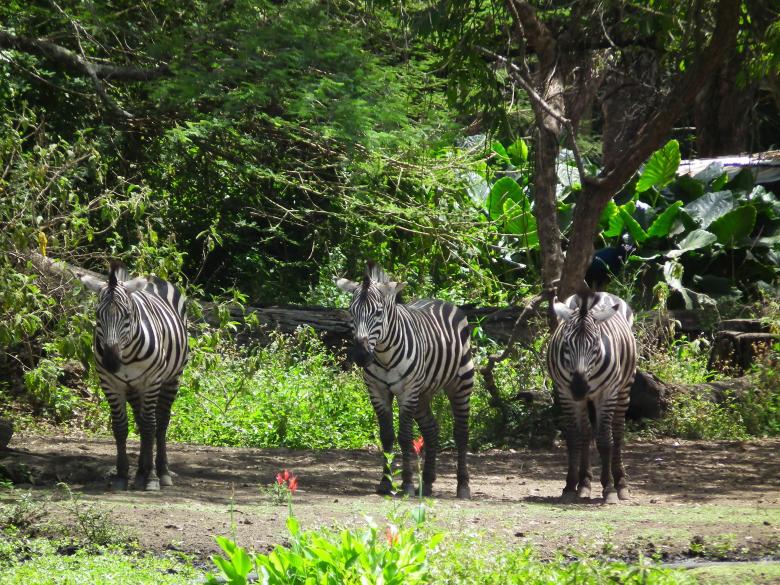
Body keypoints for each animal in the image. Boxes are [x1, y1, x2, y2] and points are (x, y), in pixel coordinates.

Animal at [79, 261, 188, 491]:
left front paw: (152, 478)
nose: (112, 362)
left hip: (172, 378)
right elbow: (120, 427)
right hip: (133, 387)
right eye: (97, 316)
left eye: (127, 315)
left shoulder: (151, 381)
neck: (126, 355)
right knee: (140, 420)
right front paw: (121, 475)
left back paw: (162, 472)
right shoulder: (111, 384)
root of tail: (155, 278)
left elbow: (149, 427)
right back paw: (140, 473)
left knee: (160, 423)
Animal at [335, 262, 474, 499]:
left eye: (378, 312)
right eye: (351, 312)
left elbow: (405, 437)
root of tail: (442, 301)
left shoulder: (407, 392)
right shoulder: (377, 391)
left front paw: (406, 484)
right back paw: (426, 483)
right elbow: (387, 436)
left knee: (461, 432)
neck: (383, 354)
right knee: (431, 429)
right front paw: (385, 483)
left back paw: (463, 486)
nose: (361, 356)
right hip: (423, 393)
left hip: (460, 383)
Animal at [546, 289, 637, 504]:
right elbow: (573, 438)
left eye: (596, 344)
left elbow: (605, 440)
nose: (580, 388)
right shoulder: (565, 393)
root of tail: (603, 292)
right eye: (566, 344)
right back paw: (584, 484)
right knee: (586, 433)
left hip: (624, 388)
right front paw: (570, 486)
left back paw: (621, 484)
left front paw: (609, 489)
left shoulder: (607, 394)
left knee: (617, 433)